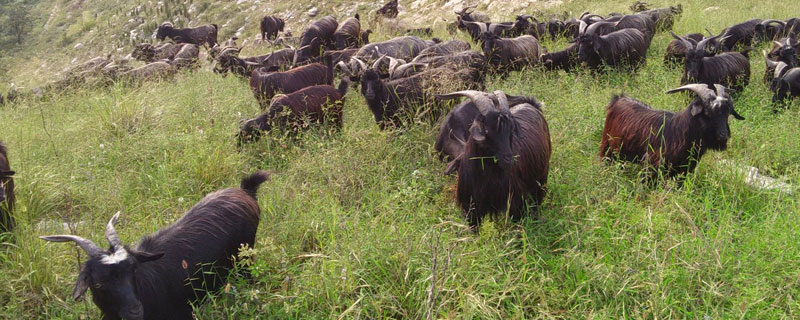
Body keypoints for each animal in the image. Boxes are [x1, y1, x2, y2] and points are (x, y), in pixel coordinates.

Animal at [432, 90, 552, 230]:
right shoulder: (471, 211)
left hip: (542, 177)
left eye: (511, 131)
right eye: (487, 131)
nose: (509, 159)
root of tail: (531, 104)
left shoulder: (515, 204)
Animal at [600, 84, 744, 176]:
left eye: (727, 114)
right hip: (607, 146)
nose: (723, 135)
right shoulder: (652, 167)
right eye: (707, 112)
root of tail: (619, 99)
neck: (678, 132)